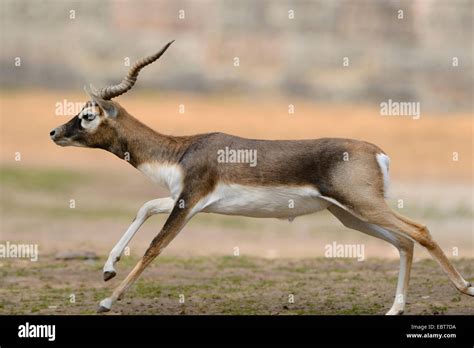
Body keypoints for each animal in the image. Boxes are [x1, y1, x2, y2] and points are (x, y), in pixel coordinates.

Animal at [50, 41, 472, 316]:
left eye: (87, 115)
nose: (54, 133)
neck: (180, 150)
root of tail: (378, 152)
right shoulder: (185, 199)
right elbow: (143, 208)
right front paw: (107, 269)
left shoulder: (189, 203)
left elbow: (156, 245)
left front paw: (106, 300)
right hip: (348, 215)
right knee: (403, 241)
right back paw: (394, 309)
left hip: (362, 205)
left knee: (419, 230)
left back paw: (464, 287)